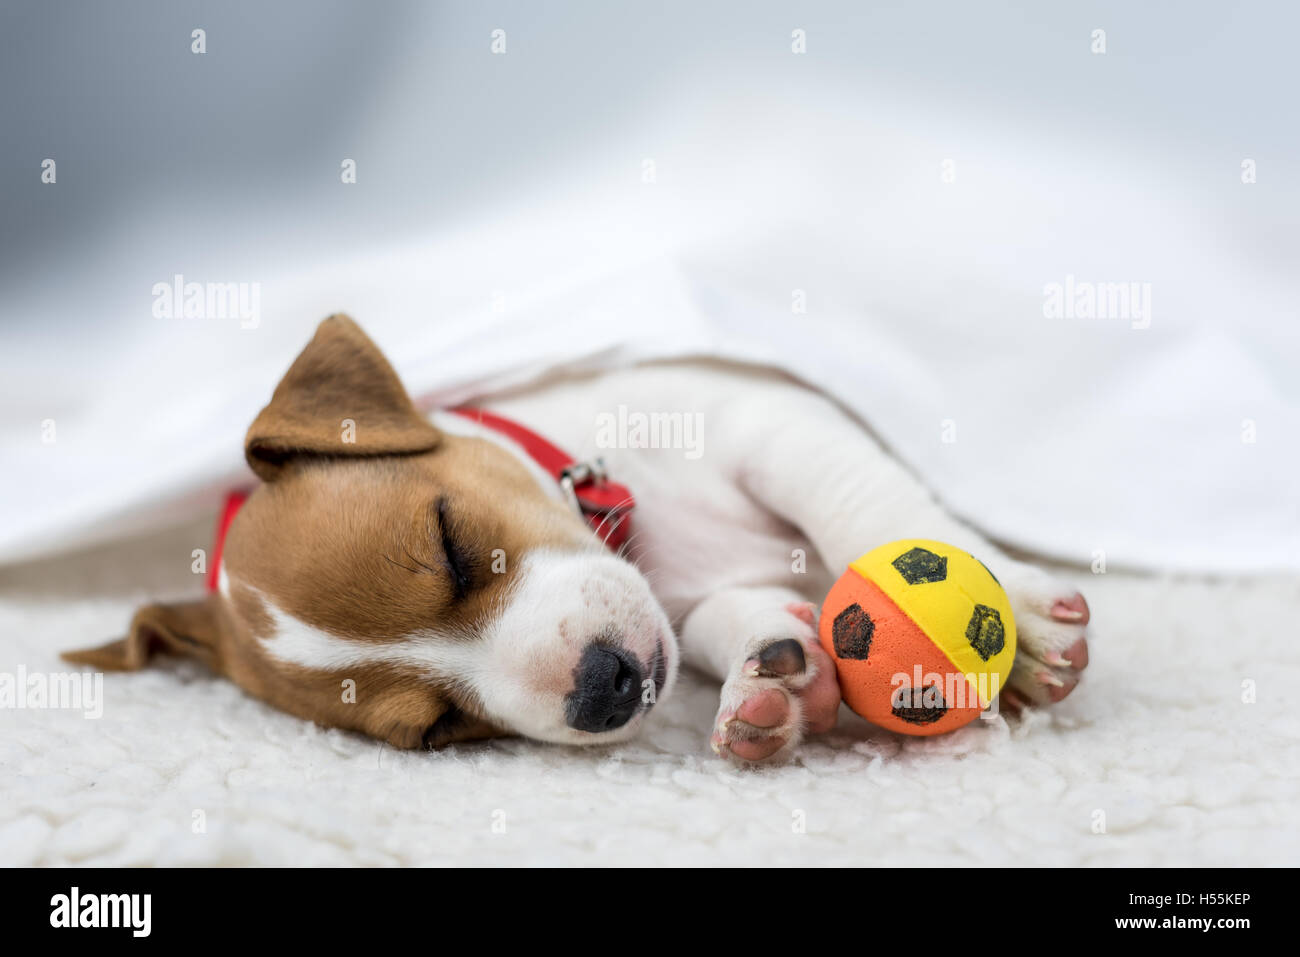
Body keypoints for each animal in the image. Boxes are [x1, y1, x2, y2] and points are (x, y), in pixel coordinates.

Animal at [65, 314, 1092, 764]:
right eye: (438, 731)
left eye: (449, 539)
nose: (604, 689)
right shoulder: (697, 597)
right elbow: (727, 621)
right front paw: (773, 678)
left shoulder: (774, 418)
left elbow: (864, 503)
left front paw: (1014, 615)